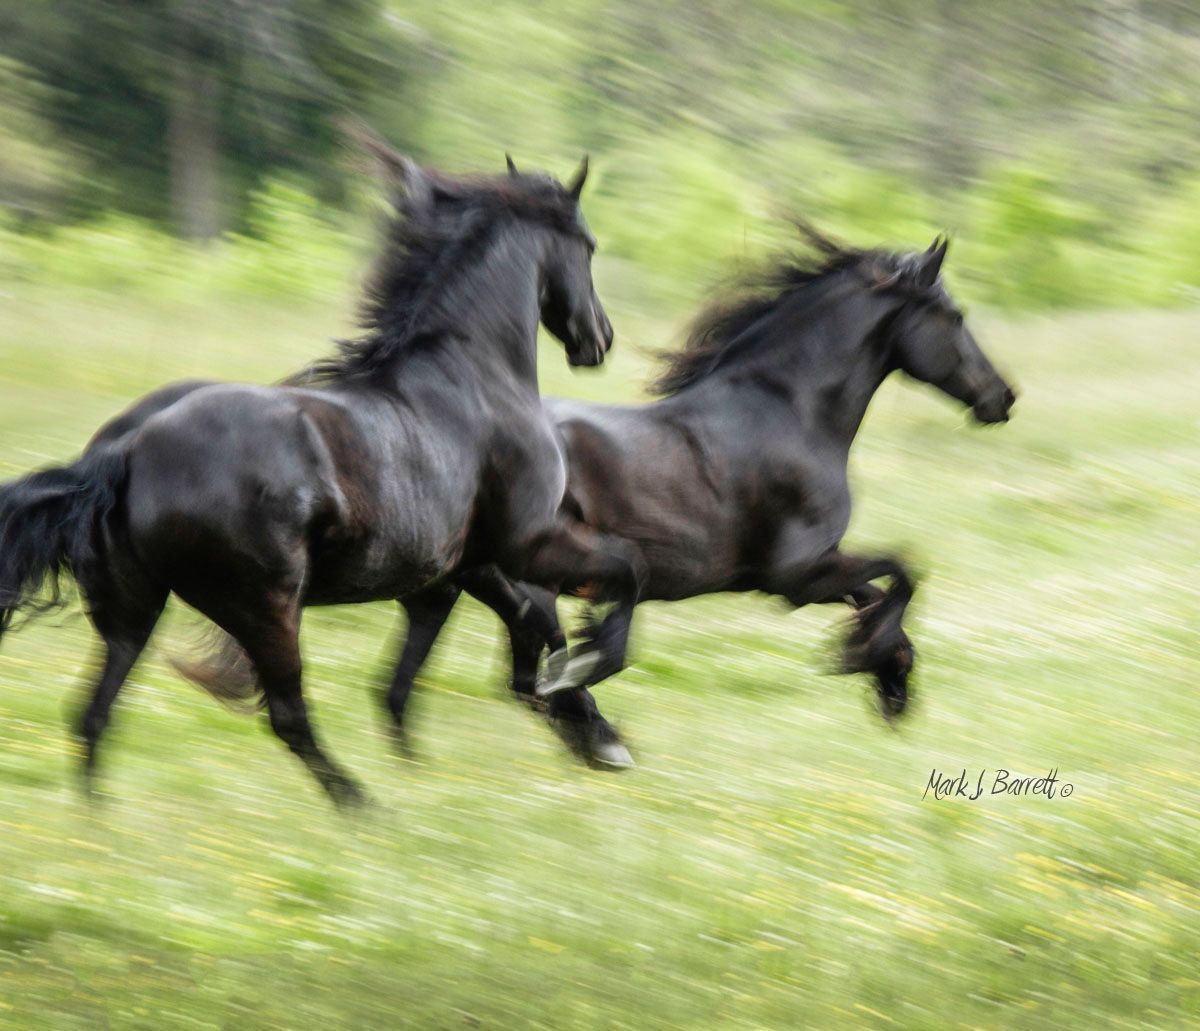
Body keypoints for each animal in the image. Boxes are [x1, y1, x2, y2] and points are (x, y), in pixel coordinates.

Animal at [0, 140, 640, 807]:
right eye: (589, 245)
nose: (599, 339)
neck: (473, 377)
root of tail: (124, 452)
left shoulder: (464, 569)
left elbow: (453, 661)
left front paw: (574, 722)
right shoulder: (523, 544)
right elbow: (610, 583)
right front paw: (592, 702)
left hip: (133, 610)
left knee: (93, 714)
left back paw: (102, 823)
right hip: (266, 607)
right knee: (286, 716)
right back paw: (362, 808)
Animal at [385, 227, 1017, 767]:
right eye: (954, 316)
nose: (1002, 398)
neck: (791, 412)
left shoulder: (813, 569)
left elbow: (879, 594)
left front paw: (890, 676)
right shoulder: (796, 575)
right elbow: (905, 572)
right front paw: (863, 662)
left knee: (488, 678)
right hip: (532, 580)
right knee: (528, 675)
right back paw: (600, 732)